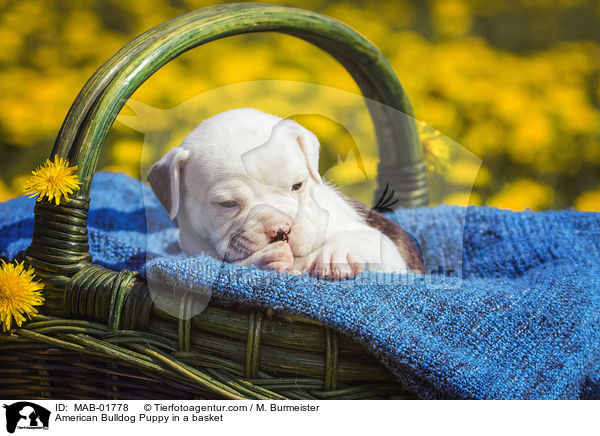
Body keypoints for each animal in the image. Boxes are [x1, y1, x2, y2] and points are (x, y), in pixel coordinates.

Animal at [148, 107, 424, 278]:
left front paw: (335, 253)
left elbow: (365, 240)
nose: (281, 230)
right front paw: (267, 257)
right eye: (227, 204)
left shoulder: (389, 255)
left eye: (297, 186)